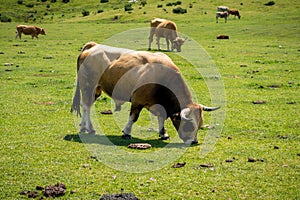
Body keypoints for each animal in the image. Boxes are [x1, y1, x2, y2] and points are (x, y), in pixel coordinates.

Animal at [71, 42, 219, 145]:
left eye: (200, 125)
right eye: (190, 125)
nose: (194, 141)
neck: (162, 77)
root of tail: (93, 46)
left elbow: (161, 118)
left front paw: (163, 133)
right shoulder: (137, 101)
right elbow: (133, 118)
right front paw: (126, 133)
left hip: (96, 90)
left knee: (87, 106)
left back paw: (84, 127)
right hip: (88, 86)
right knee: (86, 105)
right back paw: (89, 128)